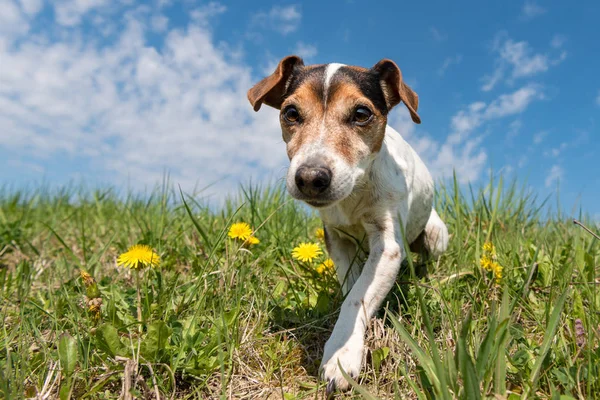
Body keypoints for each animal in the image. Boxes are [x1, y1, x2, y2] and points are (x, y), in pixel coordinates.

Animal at [246, 55, 448, 394]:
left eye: (361, 114)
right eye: (290, 112)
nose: (310, 178)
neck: (355, 192)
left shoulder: (387, 245)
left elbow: (358, 297)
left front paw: (342, 353)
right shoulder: (336, 239)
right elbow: (351, 286)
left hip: (435, 235)